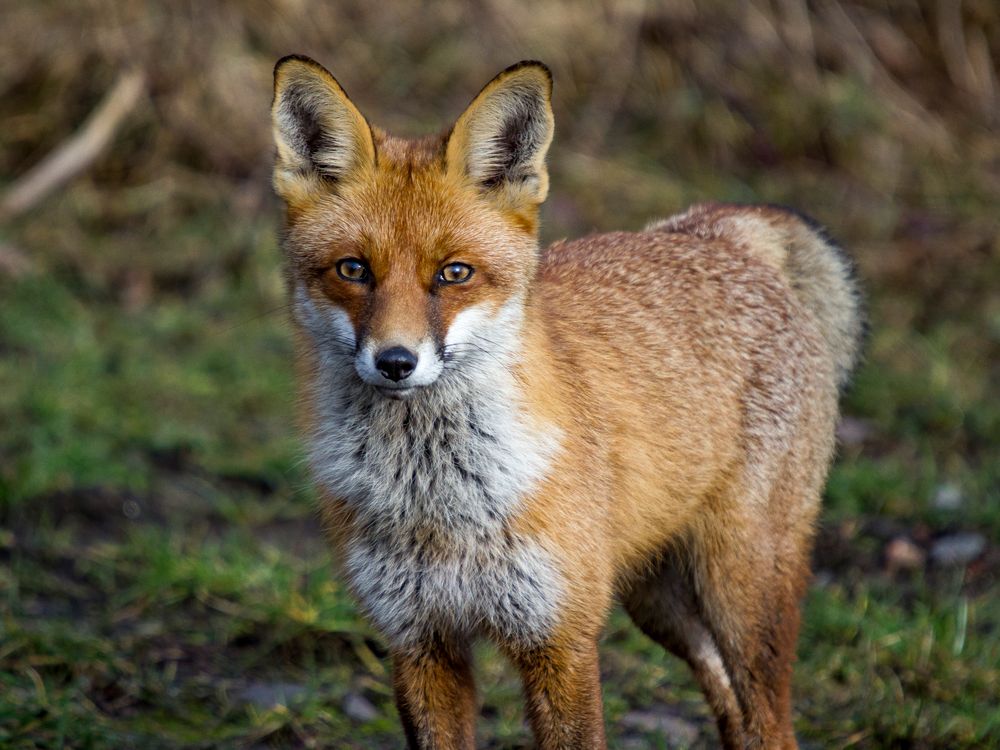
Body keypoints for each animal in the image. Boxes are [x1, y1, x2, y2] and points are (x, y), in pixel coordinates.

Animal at [270, 54, 864, 750]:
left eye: (454, 273)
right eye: (354, 270)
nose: (395, 362)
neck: (438, 503)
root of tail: (718, 232)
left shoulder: (562, 640)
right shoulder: (420, 642)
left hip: (739, 590)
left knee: (769, 721)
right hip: (658, 603)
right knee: (732, 709)